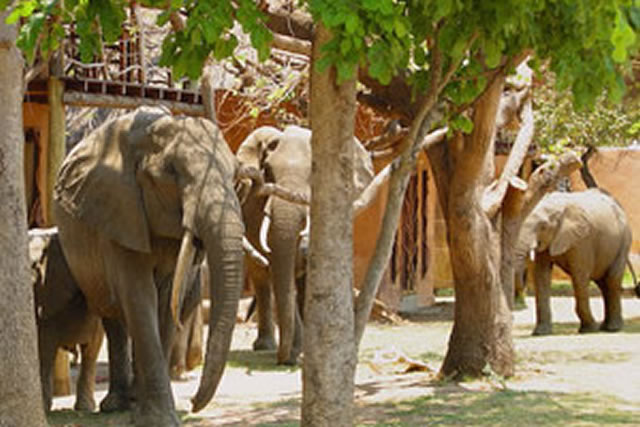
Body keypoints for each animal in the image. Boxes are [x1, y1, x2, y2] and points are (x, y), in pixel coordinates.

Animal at [52, 106, 245, 426]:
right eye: (172, 173)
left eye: (235, 176)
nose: (193, 403)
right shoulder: (119, 212)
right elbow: (139, 296)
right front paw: (160, 419)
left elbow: (165, 301)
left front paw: (150, 413)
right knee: (112, 316)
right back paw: (116, 404)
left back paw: (131, 400)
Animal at [235, 125, 373, 365]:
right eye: (268, 172)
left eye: (314, 175)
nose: (283, 361)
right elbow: (281, 271)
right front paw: (294, 354)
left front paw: (302, 353)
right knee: (262, 278)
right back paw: (265, 346)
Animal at [514, 188, 635, 335]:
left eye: (543, 226)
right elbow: (541, 276)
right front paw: (540, 332)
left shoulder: (582, 240)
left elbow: (579, 277)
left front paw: (588, 330)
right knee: (603, 283)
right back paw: (604, 327)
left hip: (624, 241)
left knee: (612, 280)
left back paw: (612, 328)